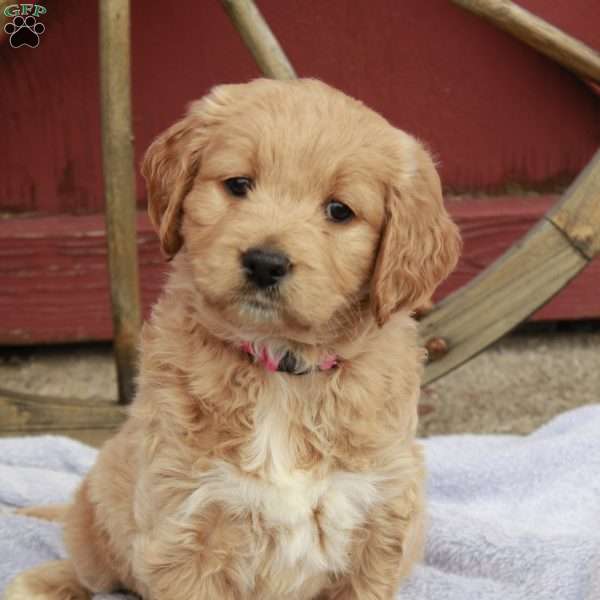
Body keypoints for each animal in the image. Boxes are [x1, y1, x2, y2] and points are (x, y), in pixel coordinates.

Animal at [5, 78, 460, 600]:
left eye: (339, 211)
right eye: (238, 185)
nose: (264, 262)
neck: (281, 369)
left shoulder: (377, 521)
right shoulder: (185, 525)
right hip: (97, 508)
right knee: (88, 563)